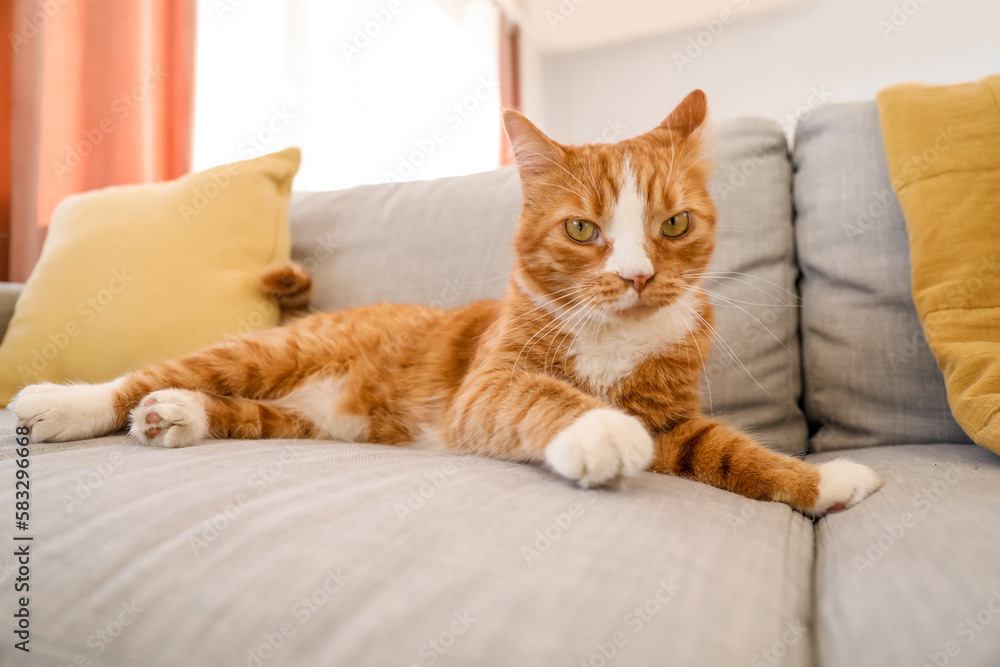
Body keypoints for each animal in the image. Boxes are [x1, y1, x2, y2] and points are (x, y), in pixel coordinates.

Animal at [9, 90, 884, 516]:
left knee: (229, 407)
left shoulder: (674, 420)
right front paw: (596, 429)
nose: (638, 276)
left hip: (317, 422)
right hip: (264, 352)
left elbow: (732, 451)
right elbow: (543, 397)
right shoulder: (487, 385)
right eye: (583, 228)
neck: (612, 336)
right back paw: (62, 402)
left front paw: (822, 483)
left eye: (673, 224)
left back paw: (178, 416)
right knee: (144, 375)